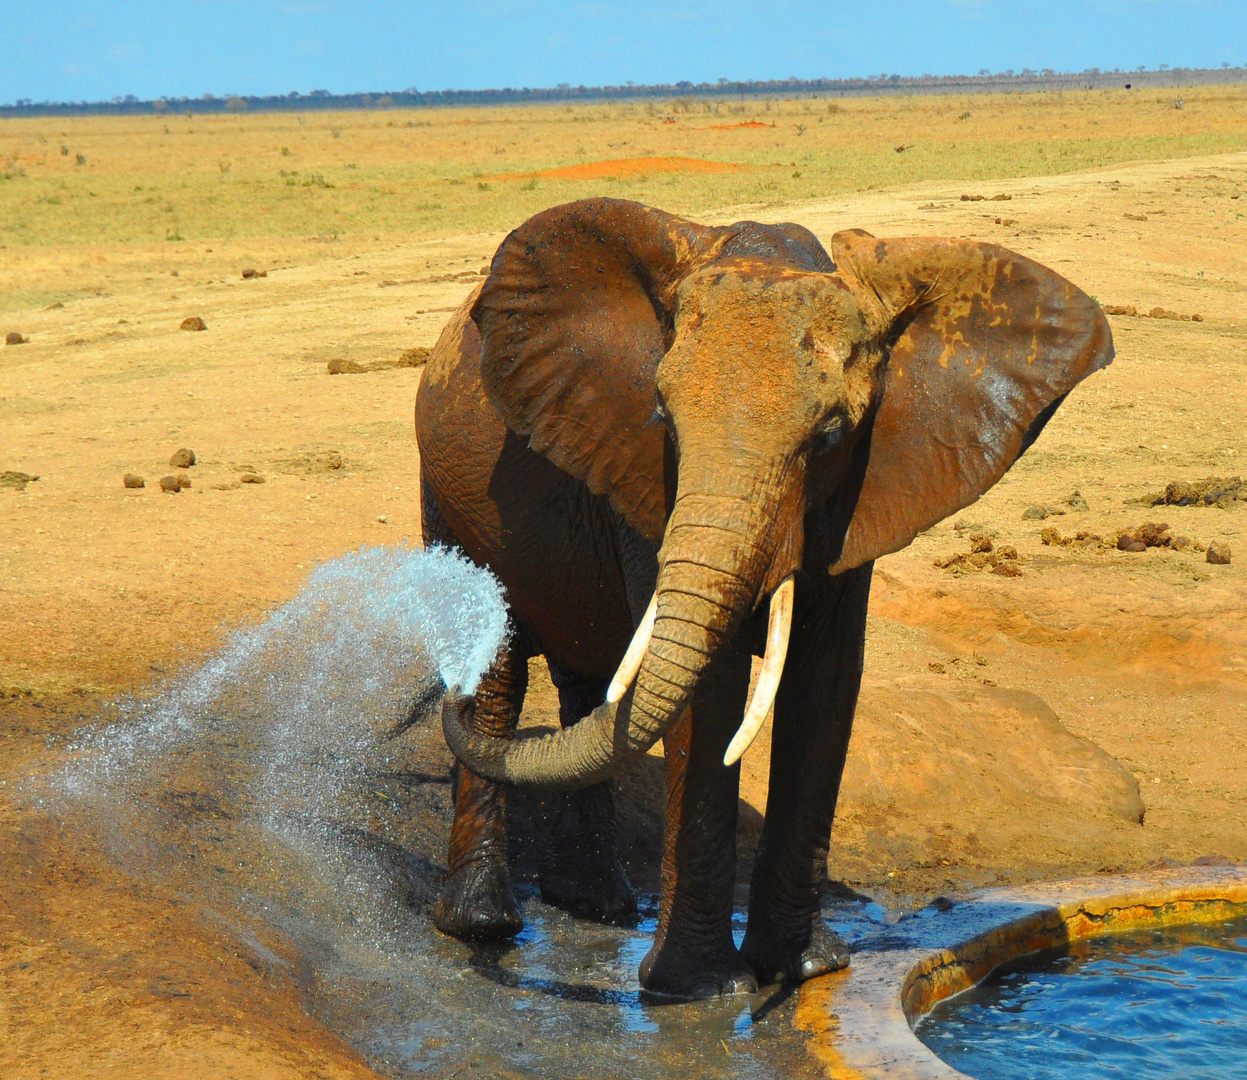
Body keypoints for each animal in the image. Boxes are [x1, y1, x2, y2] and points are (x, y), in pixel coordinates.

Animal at [418, 195, 1112, 992]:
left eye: (833, 434)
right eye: (662, 417)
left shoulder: (857, 492)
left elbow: (825, 681)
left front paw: (806, 968)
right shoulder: (641, 476)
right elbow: (709, 689)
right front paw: (703, 988)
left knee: (588, 689)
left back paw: (597, 907)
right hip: (449, 496)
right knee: (498, 676)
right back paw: (482, 924)